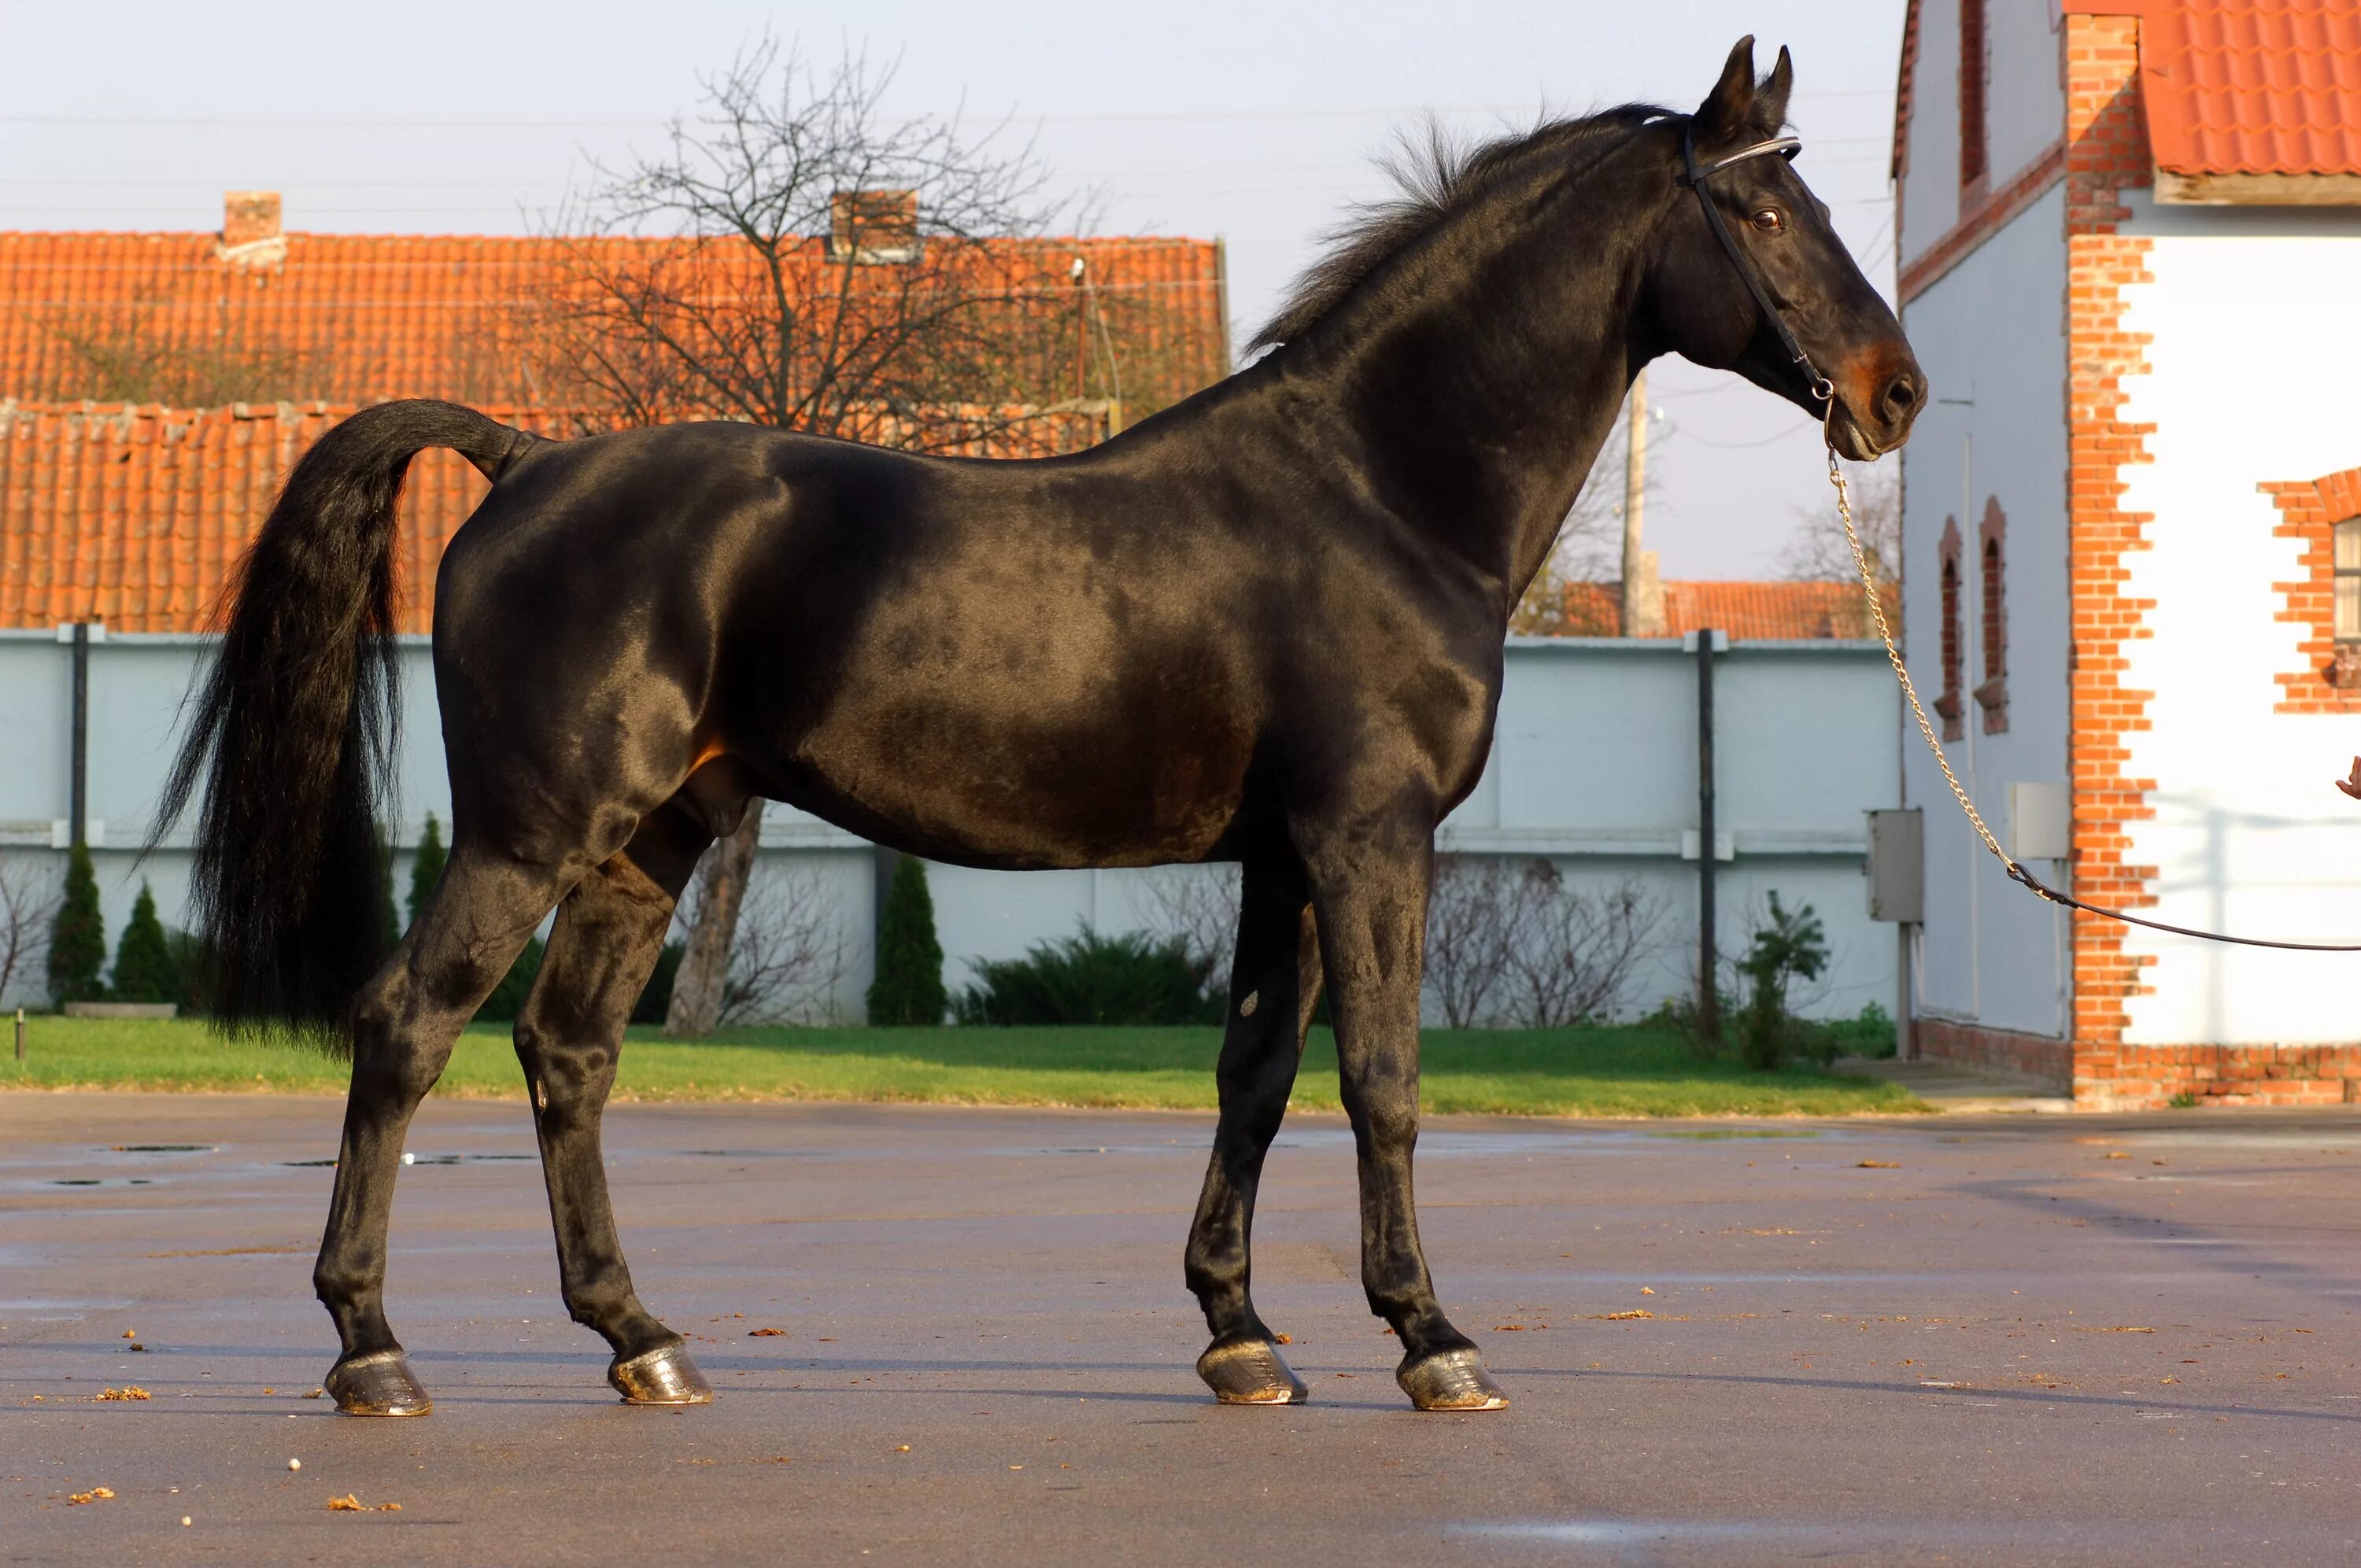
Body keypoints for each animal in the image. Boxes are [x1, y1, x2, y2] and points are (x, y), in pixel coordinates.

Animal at [161, 42, 1917, 1416]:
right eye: (1765, 209)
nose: (1893, 393)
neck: (1375, 488)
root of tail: (525, 459)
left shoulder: (1283, 854)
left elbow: (1255, 1069)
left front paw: (1241, 1333)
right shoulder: (1368, 839)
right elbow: (1384, 1079)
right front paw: (1430, 1337)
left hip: (651, 837)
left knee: (567, 1050)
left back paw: (640, 1337)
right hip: (537, 829)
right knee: (405, 1027)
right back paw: (374, 1350)